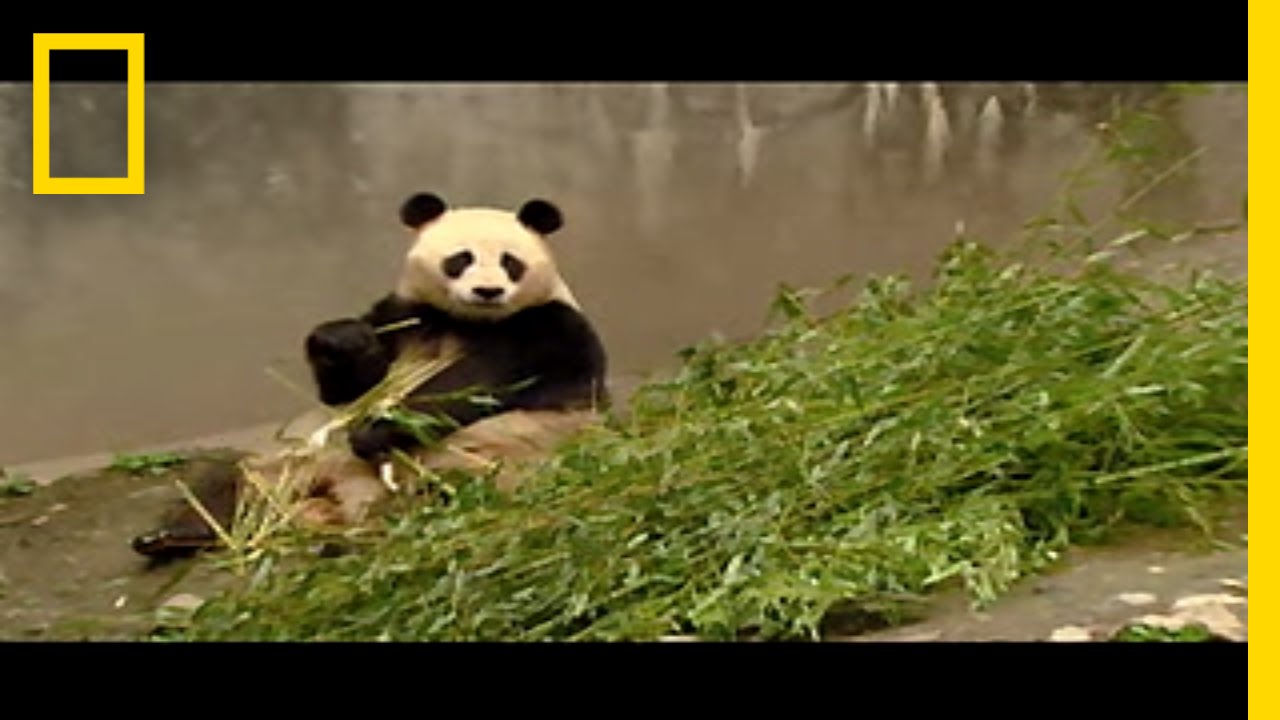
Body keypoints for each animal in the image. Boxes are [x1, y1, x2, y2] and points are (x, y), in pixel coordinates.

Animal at [131, 191, 609, 559]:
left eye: (511, 262)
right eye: (461, 259)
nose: (488, 291)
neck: (469, 319)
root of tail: (348, 500)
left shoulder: (545, 327)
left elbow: (478, 384)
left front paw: (378, 429)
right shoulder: (404, 315)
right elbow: (352, 385)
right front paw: (340, 341)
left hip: (488, 461)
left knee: (451, 494)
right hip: (305, 462)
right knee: (242, 480)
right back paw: (174, 534)